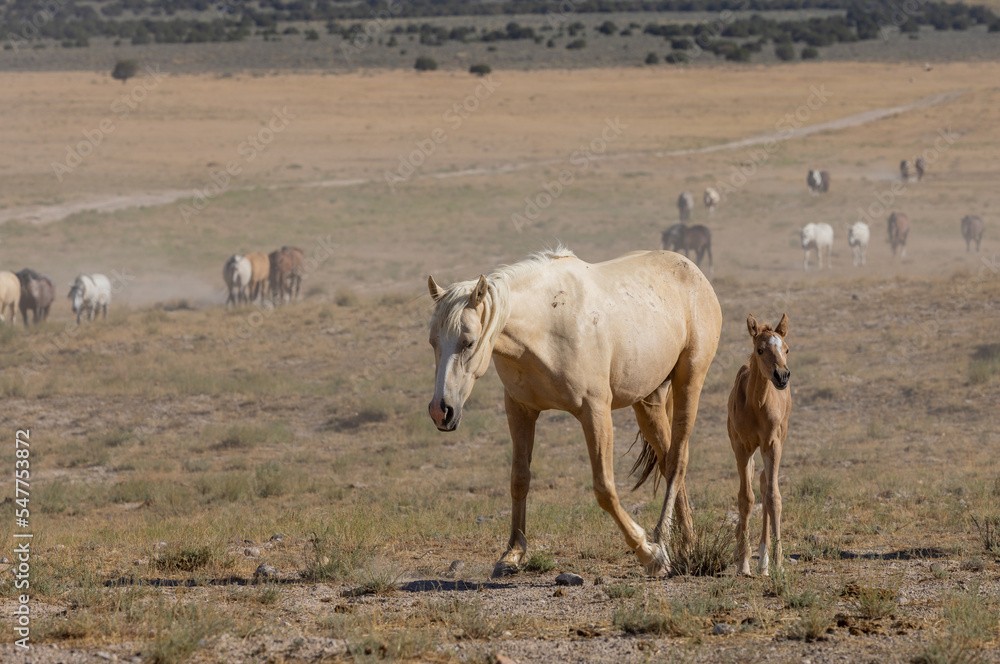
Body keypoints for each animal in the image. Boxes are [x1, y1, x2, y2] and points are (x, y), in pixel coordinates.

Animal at [427, 247, 722, 577]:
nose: (440, 411)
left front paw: (648, 553)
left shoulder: (595, 412)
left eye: (469, 342)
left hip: (690, 381)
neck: (547, 323)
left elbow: (605, 488)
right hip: (648, 402)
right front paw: (513, 553)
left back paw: (661, 542)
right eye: (433, 342)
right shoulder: (519, 410)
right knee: (667, 458)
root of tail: (692, 270)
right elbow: (519, 479)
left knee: (677, 461)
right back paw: (687, 543)